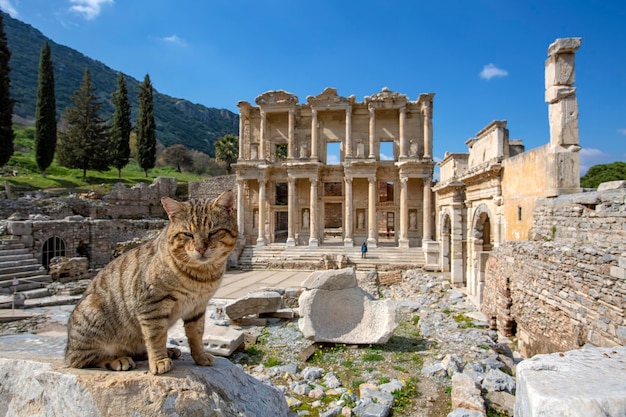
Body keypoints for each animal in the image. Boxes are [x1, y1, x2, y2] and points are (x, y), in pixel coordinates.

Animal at [65, 191, 236, 374]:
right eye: (188, 234)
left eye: (213, 232)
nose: (201, 249)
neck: (202, 275)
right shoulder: (152, 303)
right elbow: (156, 336)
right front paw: (159, 361)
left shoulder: (198, 306)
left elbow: (196, 334)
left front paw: (200, 356)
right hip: (93, 317)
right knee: (82, 359)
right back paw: (117, 359)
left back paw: (167, 351)